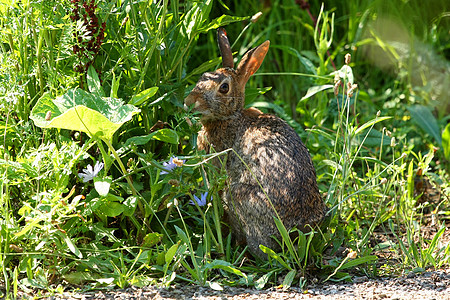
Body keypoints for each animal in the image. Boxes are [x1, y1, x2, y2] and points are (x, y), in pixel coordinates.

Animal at [185, 27, 326, 258]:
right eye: (202, 77)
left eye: (224, 88)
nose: (189, 102)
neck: (230, 117)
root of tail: (297, 229)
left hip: (238, 197)